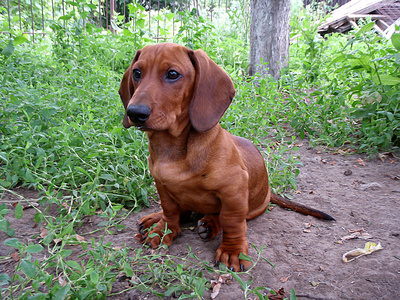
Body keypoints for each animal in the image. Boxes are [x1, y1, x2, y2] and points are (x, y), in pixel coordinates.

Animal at [119, 42, 334, 272]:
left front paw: (232, 251)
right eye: (137, 73)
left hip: (251, 207)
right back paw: (155, 218)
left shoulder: (234, 189)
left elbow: (231, 221)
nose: (134, 113)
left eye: (173, 74)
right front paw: (163, 230)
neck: (173, 148)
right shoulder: (162, 184)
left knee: (225, 217)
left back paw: (210, 224)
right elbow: (169, 211)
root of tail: (269, 192)